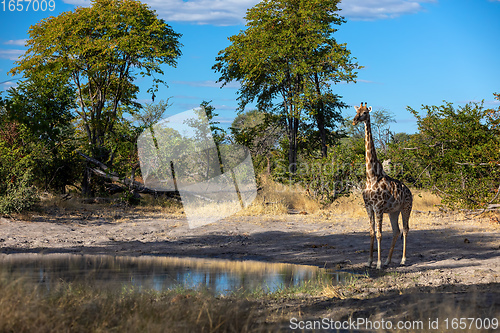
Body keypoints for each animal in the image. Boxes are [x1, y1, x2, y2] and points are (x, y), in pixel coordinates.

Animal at [352, 102, 414, 268]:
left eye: (365, 113)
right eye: (357, 111)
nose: (354, 121)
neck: (371, 176)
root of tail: (410, 192)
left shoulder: (378, 207)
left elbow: (379, 234)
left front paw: (378, 263)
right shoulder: (368, 207)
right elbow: (371, 232)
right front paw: (369, 261)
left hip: (406, 208)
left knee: (406, 229)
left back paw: (403, 260)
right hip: (394, 211)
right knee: (396, 231)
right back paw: (388, 260)